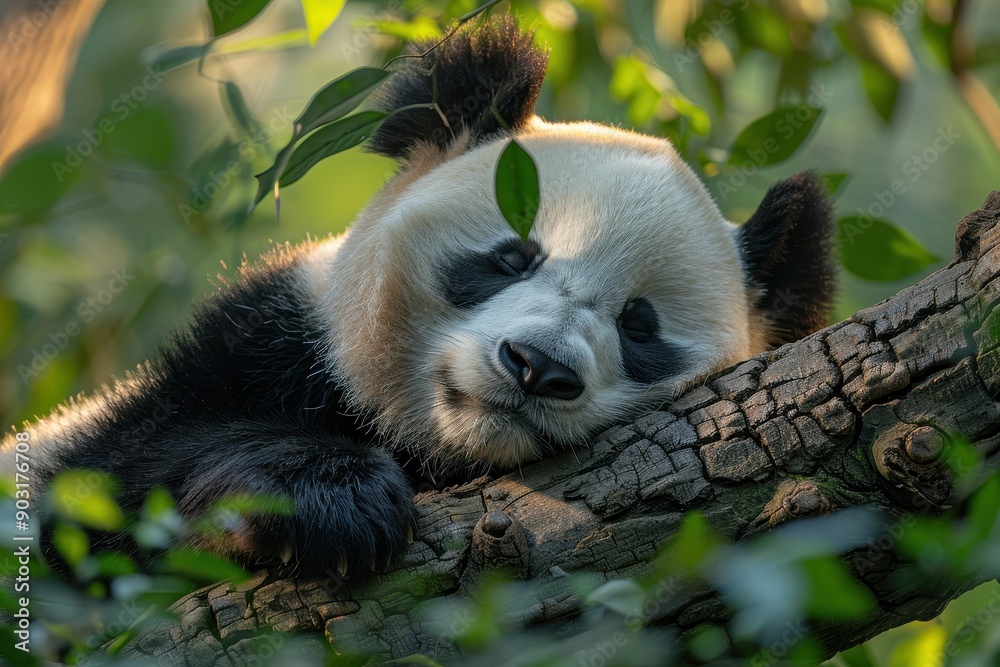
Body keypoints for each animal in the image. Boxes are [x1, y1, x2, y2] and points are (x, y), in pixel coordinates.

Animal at [2, 16, 835, 577]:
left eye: (640, 326)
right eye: (511, 256)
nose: (537, 366)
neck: (435, 447)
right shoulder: (263, 340)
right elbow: (127, 472)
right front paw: (334, 501)